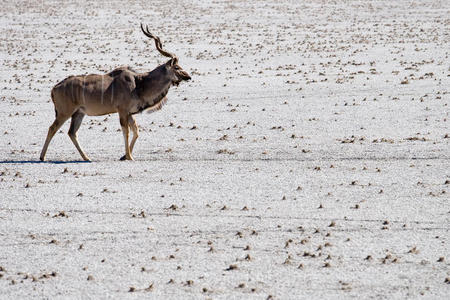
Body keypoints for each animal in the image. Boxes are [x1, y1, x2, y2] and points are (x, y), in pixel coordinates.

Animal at [39, 25, 192, 162]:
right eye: (177, 67)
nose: (188, 77)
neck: (139, 84)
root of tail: (54, 88)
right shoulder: (122, 111)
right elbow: (127, 132)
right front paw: (129, 156)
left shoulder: (129, 113)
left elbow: (136, 131)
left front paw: (124, 156)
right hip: (65, 112)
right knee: (52, 128)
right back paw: (42, 157)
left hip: (78, 113)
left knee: (72, 132)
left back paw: (86, 158)